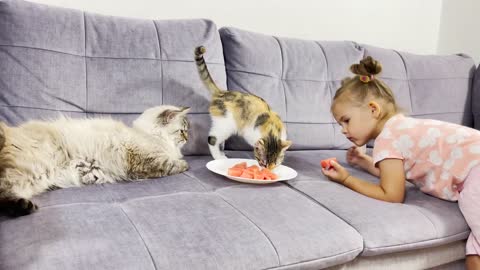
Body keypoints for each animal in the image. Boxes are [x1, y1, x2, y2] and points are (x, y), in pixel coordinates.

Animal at [0, 104, 191, 216]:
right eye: (182, 131)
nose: (188, 138)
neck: (147, 134)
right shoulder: (143, 161)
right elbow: (172, 165)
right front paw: (185, 164)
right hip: (33, 169)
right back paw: (24, 208)